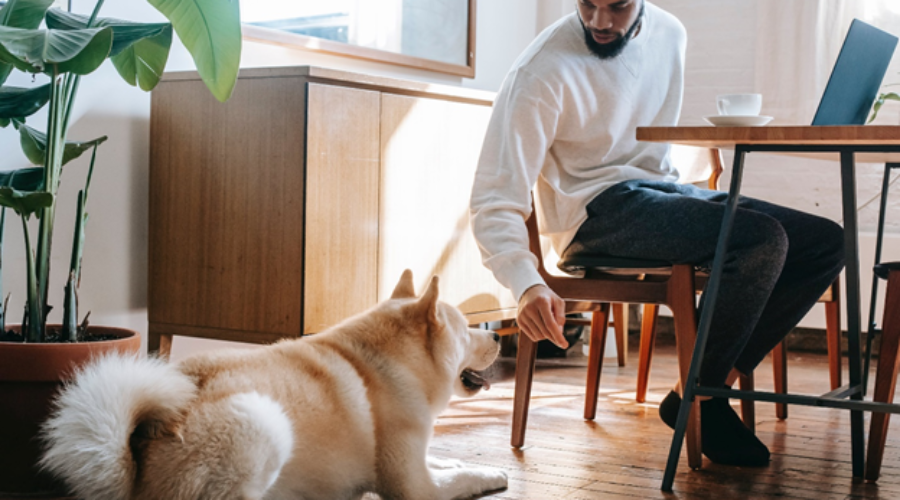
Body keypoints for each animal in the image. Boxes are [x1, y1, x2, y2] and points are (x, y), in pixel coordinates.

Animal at [40, 274, 506, 500]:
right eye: (467, 330)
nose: (500, 338)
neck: (384, 364)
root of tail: (133, 468)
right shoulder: (414, 488)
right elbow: (463, 477)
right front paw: (490, 472)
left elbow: (445, 460)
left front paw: (458, 460)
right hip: (262, 419)